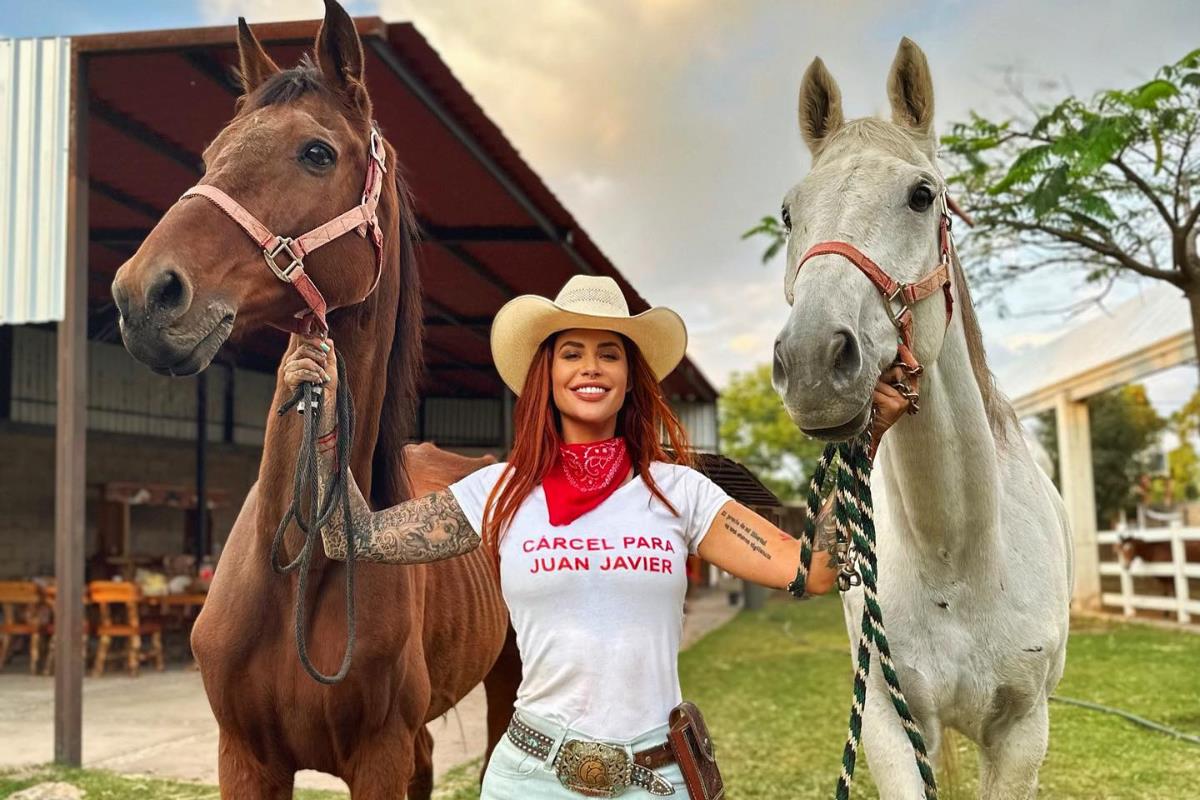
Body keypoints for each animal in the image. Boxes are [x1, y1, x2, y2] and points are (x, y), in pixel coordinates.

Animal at [112, 3, 520, 796]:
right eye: (210, 154)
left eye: (316, 153)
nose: (142, 295)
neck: (293, 582)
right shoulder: (243, 756)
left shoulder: (380, 756)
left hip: (506, 682)